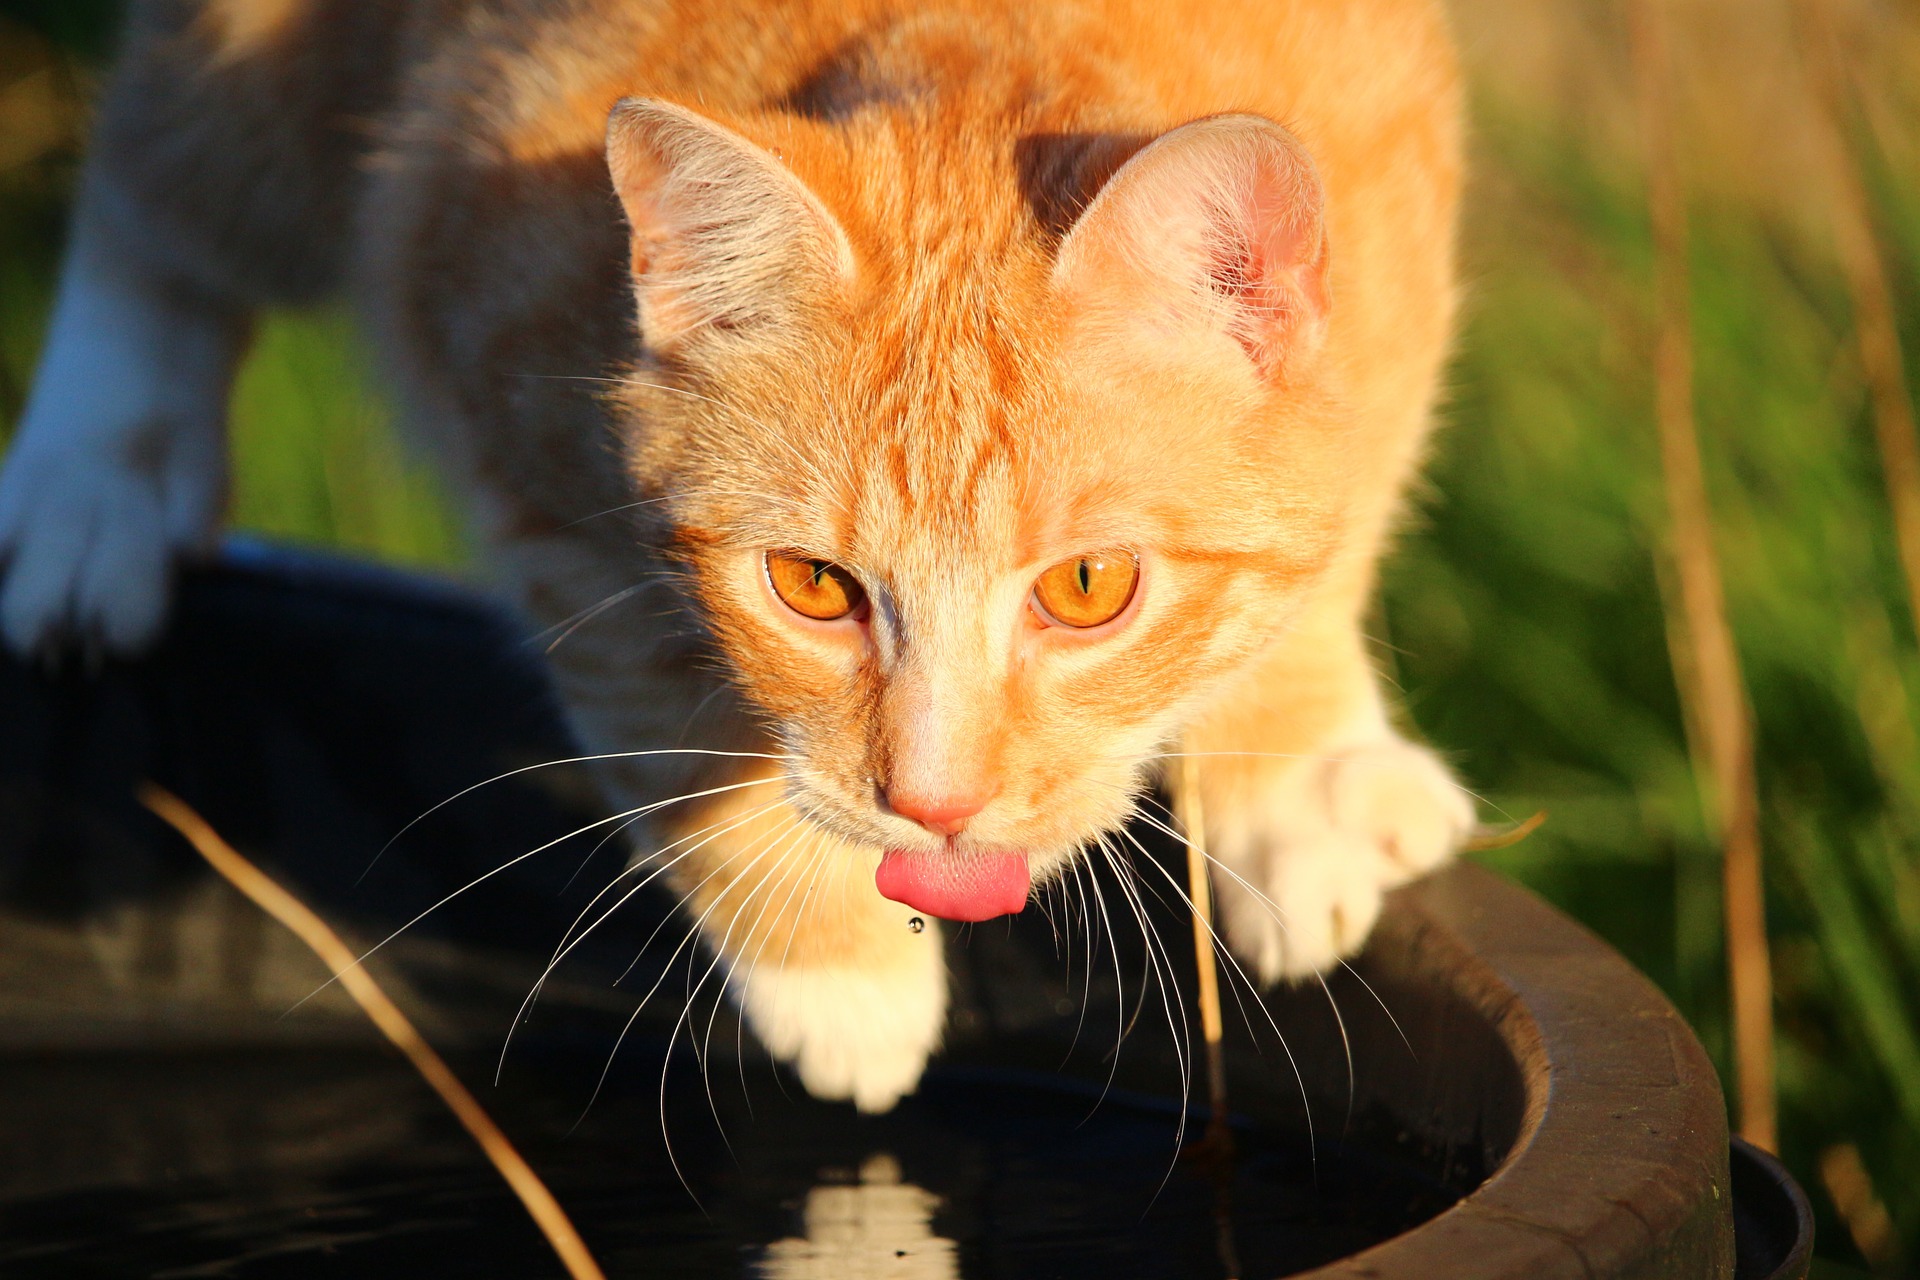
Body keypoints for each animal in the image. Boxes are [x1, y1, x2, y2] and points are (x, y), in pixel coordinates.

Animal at [0, 0, 1466, 1113]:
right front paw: (840, 971)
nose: (933, 807)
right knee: (156, 191)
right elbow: (667, 722)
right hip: (265, 86)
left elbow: (1325, 546)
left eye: (1089, 589)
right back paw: (93, 482)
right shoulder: (521, 433)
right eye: (813, 587)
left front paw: (1301, 772)